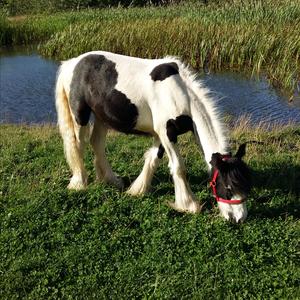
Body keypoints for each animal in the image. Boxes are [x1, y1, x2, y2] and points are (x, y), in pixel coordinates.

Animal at [55, 50, 251, 221]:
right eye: (227, 187)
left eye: (244, 186)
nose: (239, 219)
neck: (180, 94)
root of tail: (72, 63)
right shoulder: (167, 132)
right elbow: (178, 167)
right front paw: (188, 205)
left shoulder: (162, 134)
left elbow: (153, 159)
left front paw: (137, 189)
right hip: (80, 115)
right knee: (78, 145)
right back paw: (79, 183)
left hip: (101, 116)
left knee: (97, 144)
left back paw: (111, 180)